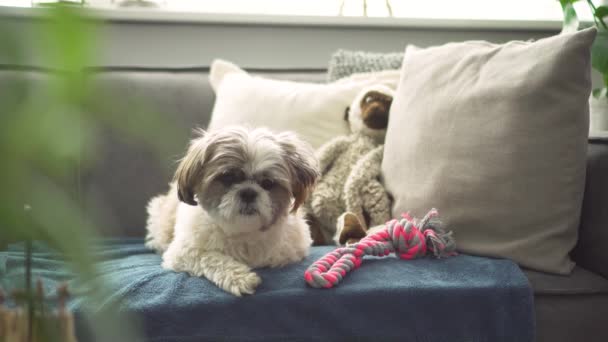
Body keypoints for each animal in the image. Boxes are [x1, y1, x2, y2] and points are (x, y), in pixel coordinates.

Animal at [145, 127, 320, 296]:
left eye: (268, 183)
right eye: (227, 178)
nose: (248, 192)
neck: (243, 232)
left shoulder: (292, 252)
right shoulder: (182, 253)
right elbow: (210, 257)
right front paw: (241, 278)